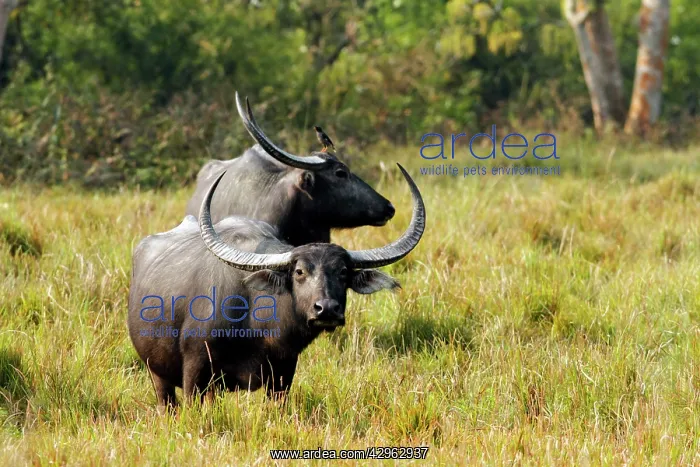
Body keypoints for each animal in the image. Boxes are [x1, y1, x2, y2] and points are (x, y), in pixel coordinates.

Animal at [128, 163, 425, 407]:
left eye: (343, 272)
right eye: (299, 272)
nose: (327, 309)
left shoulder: (283, 371)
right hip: (157, 371)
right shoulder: (196, 368)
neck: (254, 323)